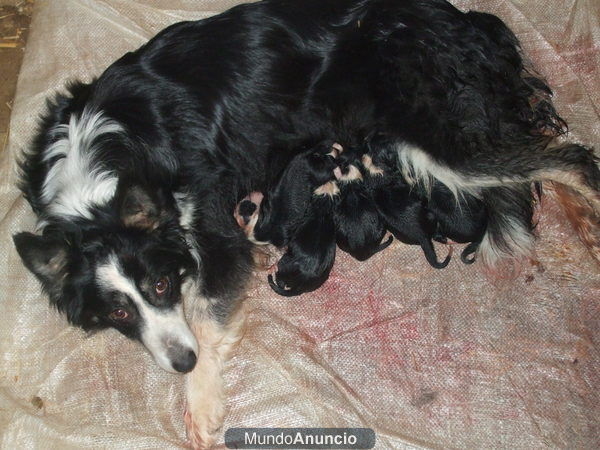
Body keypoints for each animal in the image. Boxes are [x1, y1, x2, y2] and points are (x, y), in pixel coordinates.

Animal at [10, 0, 600, 446]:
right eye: (116, 313)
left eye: (160, 285)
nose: (179, 363)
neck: (100, 182)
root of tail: (463, 18)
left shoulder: (213, 229)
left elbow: (206, 312)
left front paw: (200, 407)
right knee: (538, 145)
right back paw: (584, 221)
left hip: (439, 135)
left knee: (570, 157)